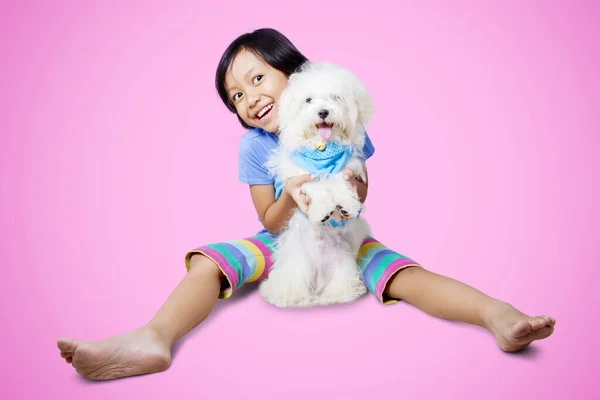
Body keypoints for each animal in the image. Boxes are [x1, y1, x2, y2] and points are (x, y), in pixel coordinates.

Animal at [258, 61, 372, 306]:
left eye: (335, 97)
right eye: (308, 100)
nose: (323, 112)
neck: (322, 148)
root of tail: (317, 290)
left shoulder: (346, 168)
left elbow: (339, 182)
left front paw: (346, 205)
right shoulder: (298, 176)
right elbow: (316, 187)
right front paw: (323, 210)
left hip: (342, 263)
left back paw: (340, 294)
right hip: (294, 267)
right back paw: (288, 297)